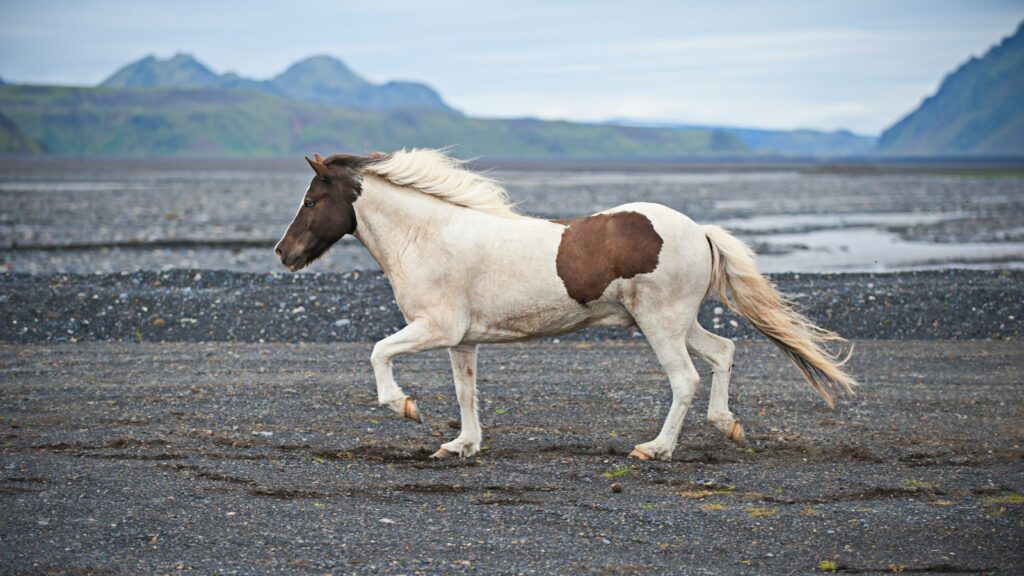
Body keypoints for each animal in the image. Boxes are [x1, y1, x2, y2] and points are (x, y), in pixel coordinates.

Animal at [274, 149, 856, 461]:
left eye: (310, 200)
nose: (284, 253)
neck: (430, 235)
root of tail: (699, 230)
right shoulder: (463, 340)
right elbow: (466, 393)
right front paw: (461, 446)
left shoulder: (434, 327)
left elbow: (378, 353)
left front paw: (404, 407)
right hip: (677, 321)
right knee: (723, 352)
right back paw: (727, 425)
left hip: (660, 322)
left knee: (686, 378)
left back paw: (655, 449)